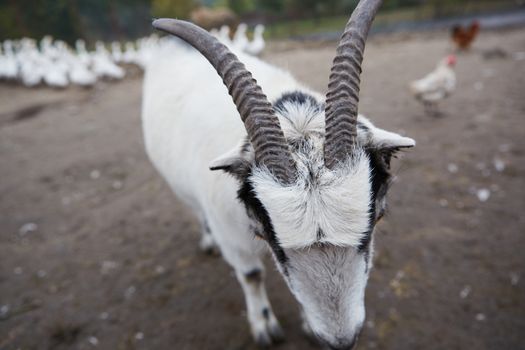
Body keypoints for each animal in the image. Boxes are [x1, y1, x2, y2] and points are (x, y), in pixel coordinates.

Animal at [142, 1, 414, 348]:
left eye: (375, 220)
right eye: (273, 240)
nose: (341, 340)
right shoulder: (232, 238)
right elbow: (252, 275)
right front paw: (264, 327)